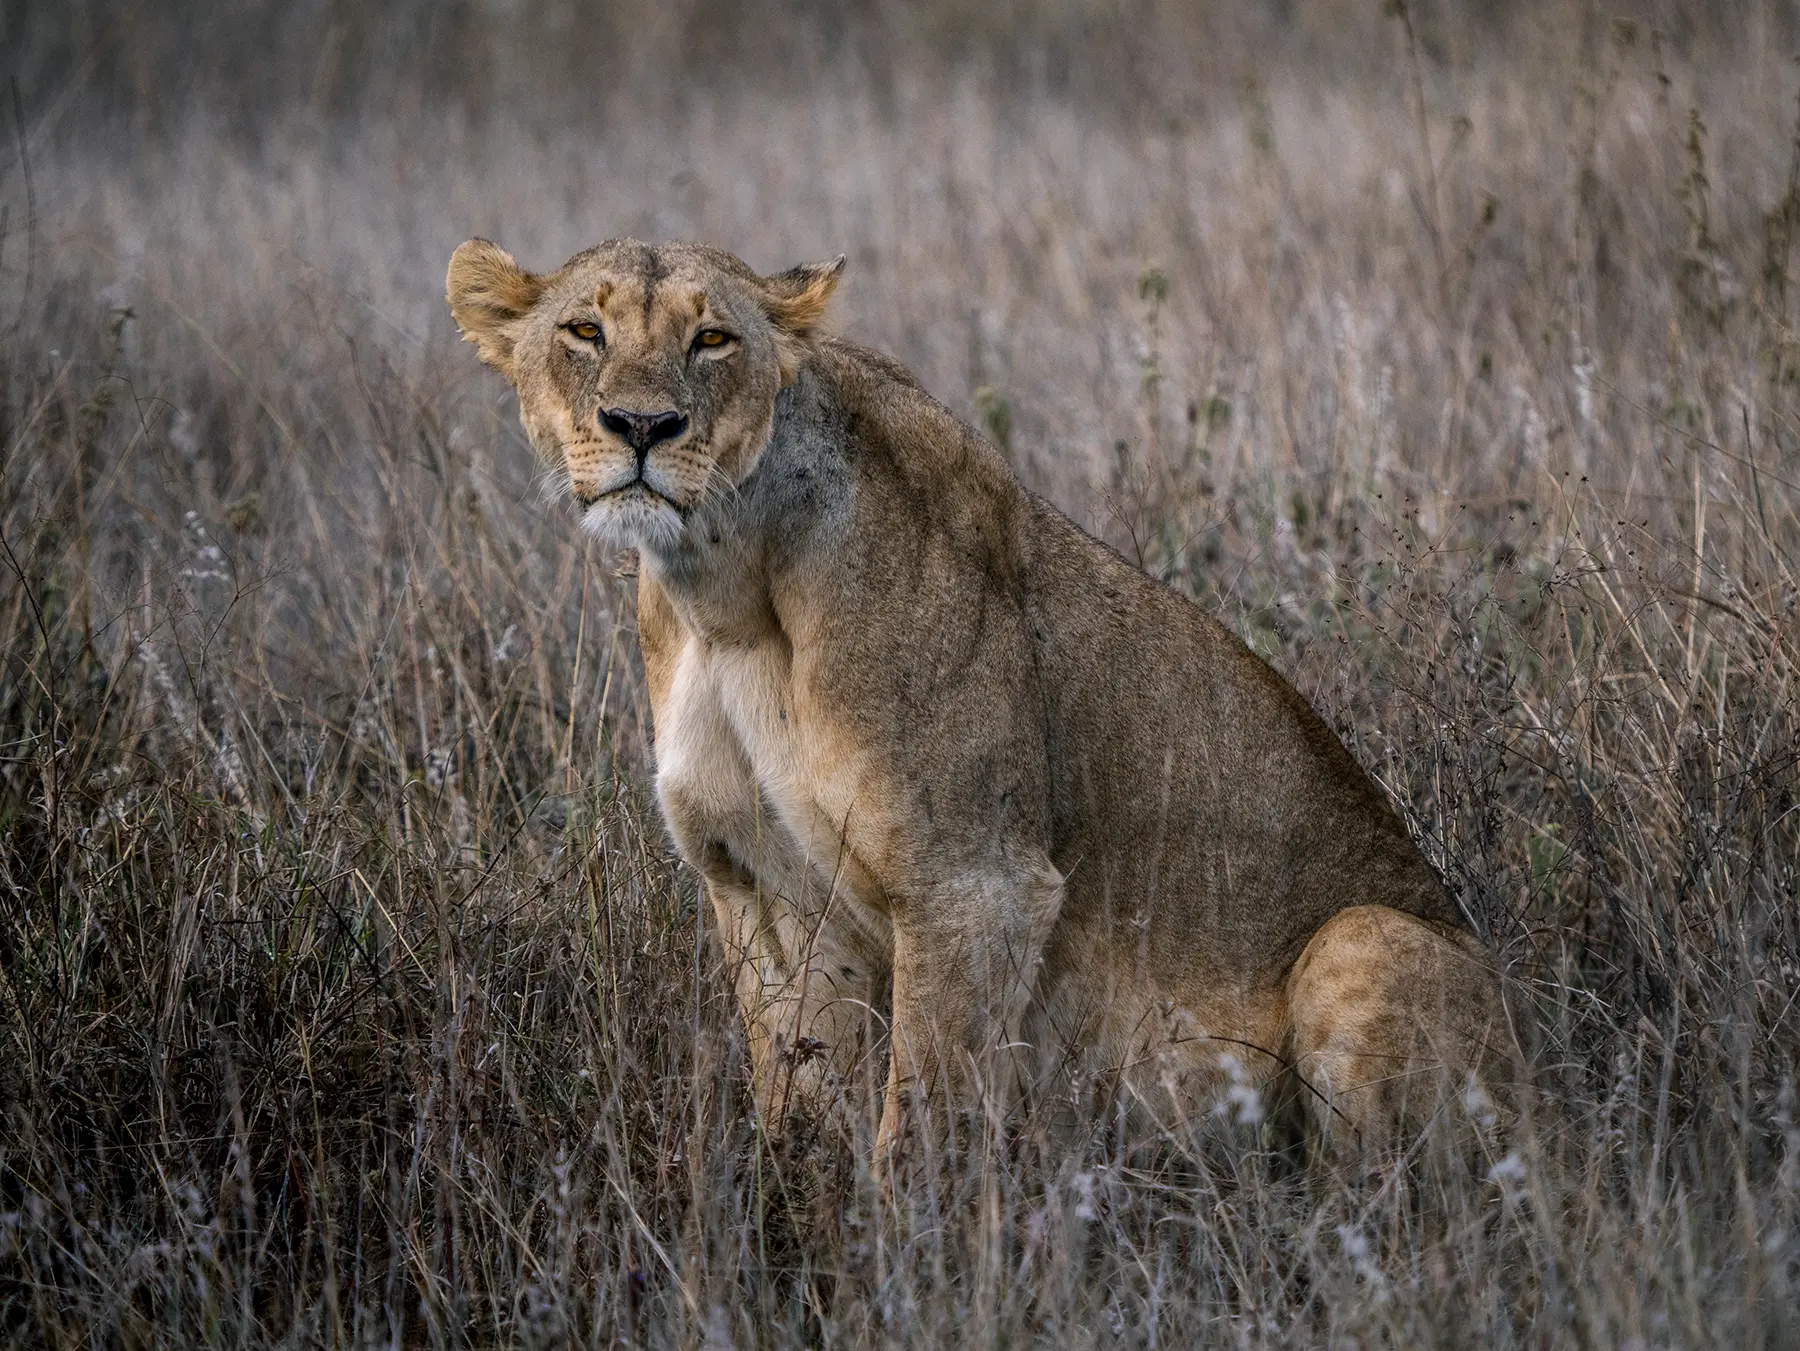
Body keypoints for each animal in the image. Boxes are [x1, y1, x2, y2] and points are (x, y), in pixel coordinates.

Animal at [446, 236, 1509, 1164]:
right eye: (584, 331)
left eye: (713, 339)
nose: (641, 428)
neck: (726, 594)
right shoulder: (762, 884)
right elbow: (799, 1102)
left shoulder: (974, 883)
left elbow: (919, 1127)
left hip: (1363, 938)